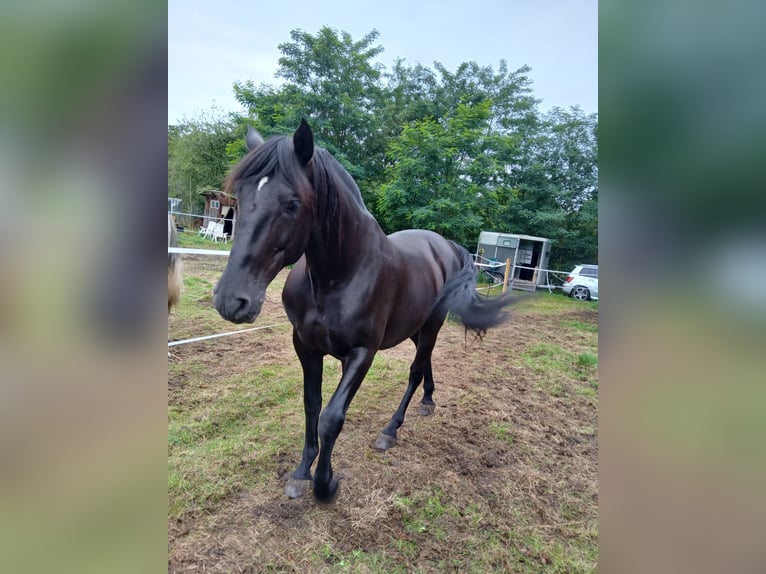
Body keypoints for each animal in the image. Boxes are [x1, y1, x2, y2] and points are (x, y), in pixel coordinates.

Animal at [214, 120, 514, 502]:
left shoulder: (362, 352)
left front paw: (326, 485)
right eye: (239, 195)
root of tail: (445, 245)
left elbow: (332, 417)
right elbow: (312, 405)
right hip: (415, 327)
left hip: (431, 324)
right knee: (425, 362)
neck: (338, 276)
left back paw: (391, 430)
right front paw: (302, 472)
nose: (231, 300)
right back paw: (428, 400)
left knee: (416, 370)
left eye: (292, 204)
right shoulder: (306, 346)